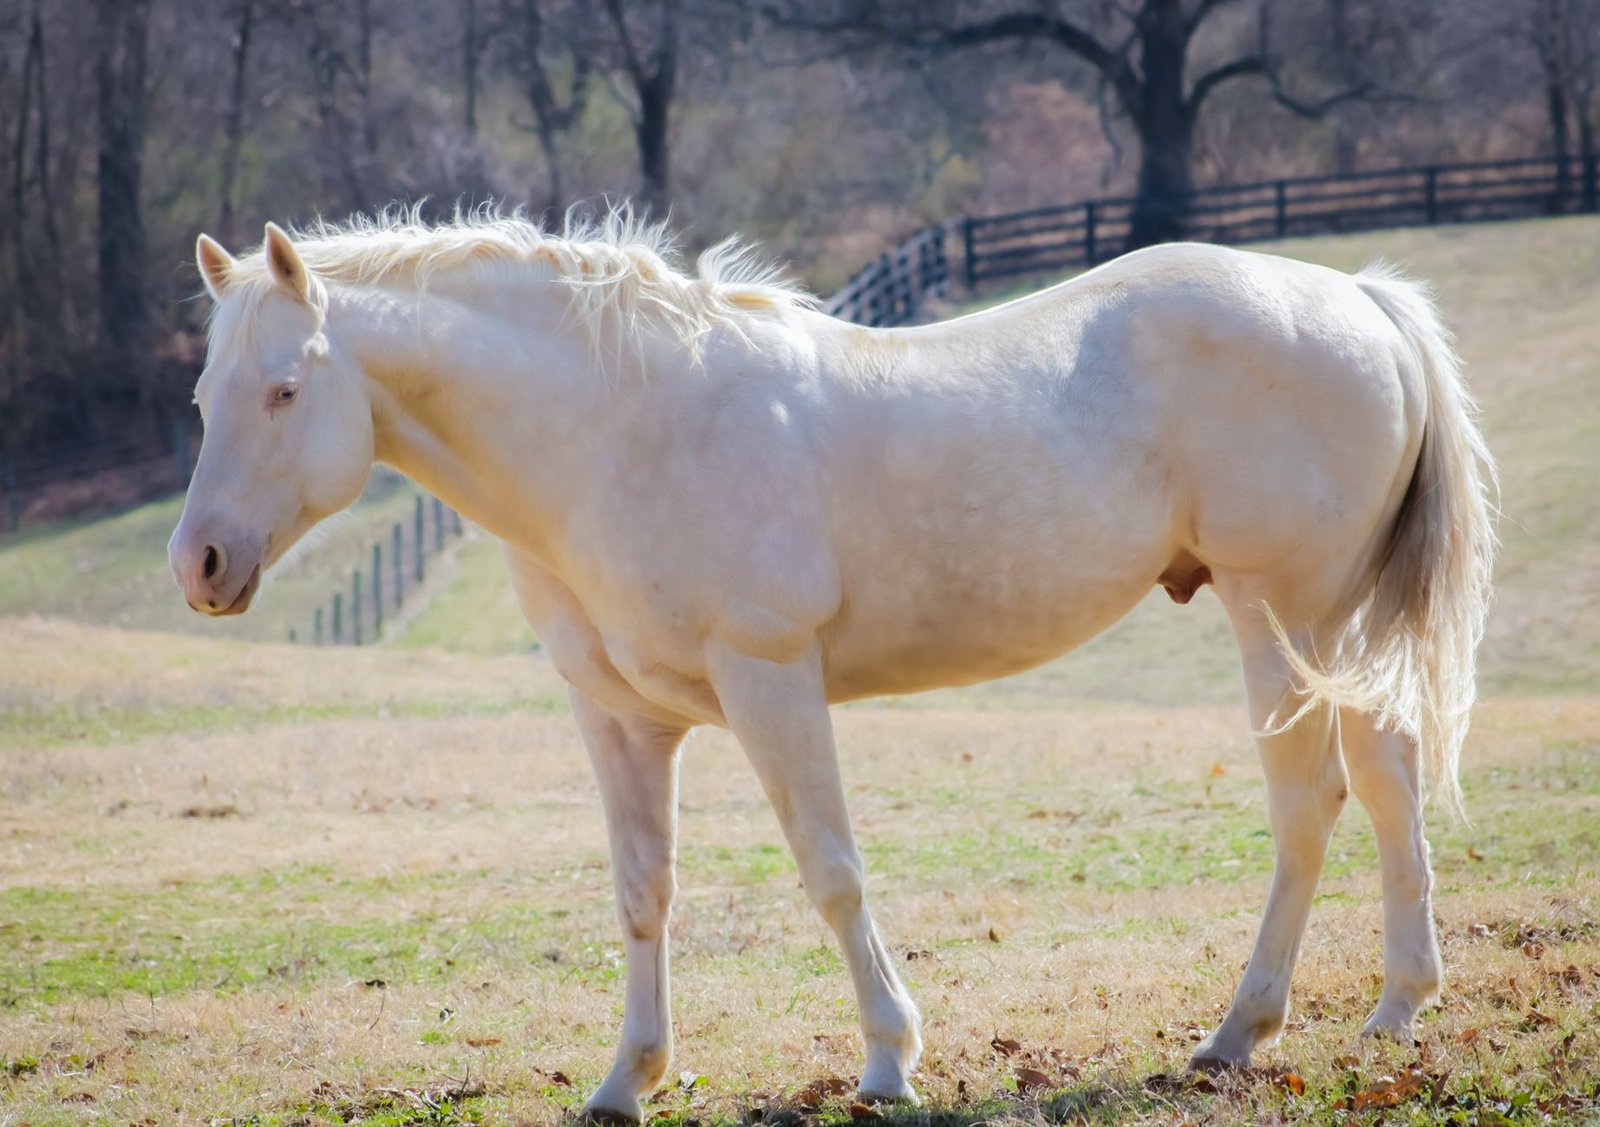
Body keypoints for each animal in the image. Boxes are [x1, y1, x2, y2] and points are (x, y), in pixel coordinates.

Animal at [170, 207, 1495, 1119]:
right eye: (203, 395)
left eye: (283, 388)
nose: (201, 562)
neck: (621, 429)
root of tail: (1354, 298)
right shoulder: (617, 717)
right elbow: (642, 892)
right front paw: (627, 1077)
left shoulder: (769, 680)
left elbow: (831, 872)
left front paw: (888, 1060)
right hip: (1336, 626)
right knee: (1387, 779)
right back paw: (1394, 1007)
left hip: (1284, 615)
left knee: (1309, 800)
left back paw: (1239, 1029)